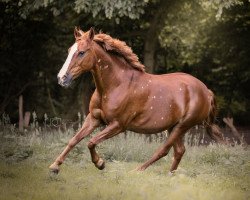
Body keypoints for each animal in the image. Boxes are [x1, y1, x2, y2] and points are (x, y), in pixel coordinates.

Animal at [48, 27, 225, 174]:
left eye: (82, 52)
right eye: (69, 50)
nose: (61, 78)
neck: (115, 85)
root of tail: (206, 91)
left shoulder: (118, 125)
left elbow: (91, 142)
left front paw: (100, 163)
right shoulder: (94, 118)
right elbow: (74, 140)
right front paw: (54, 166)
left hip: (182, 126)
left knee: (164, 150)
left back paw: (137, 171)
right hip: (173, 126)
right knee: (179, 151)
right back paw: (170, 175)